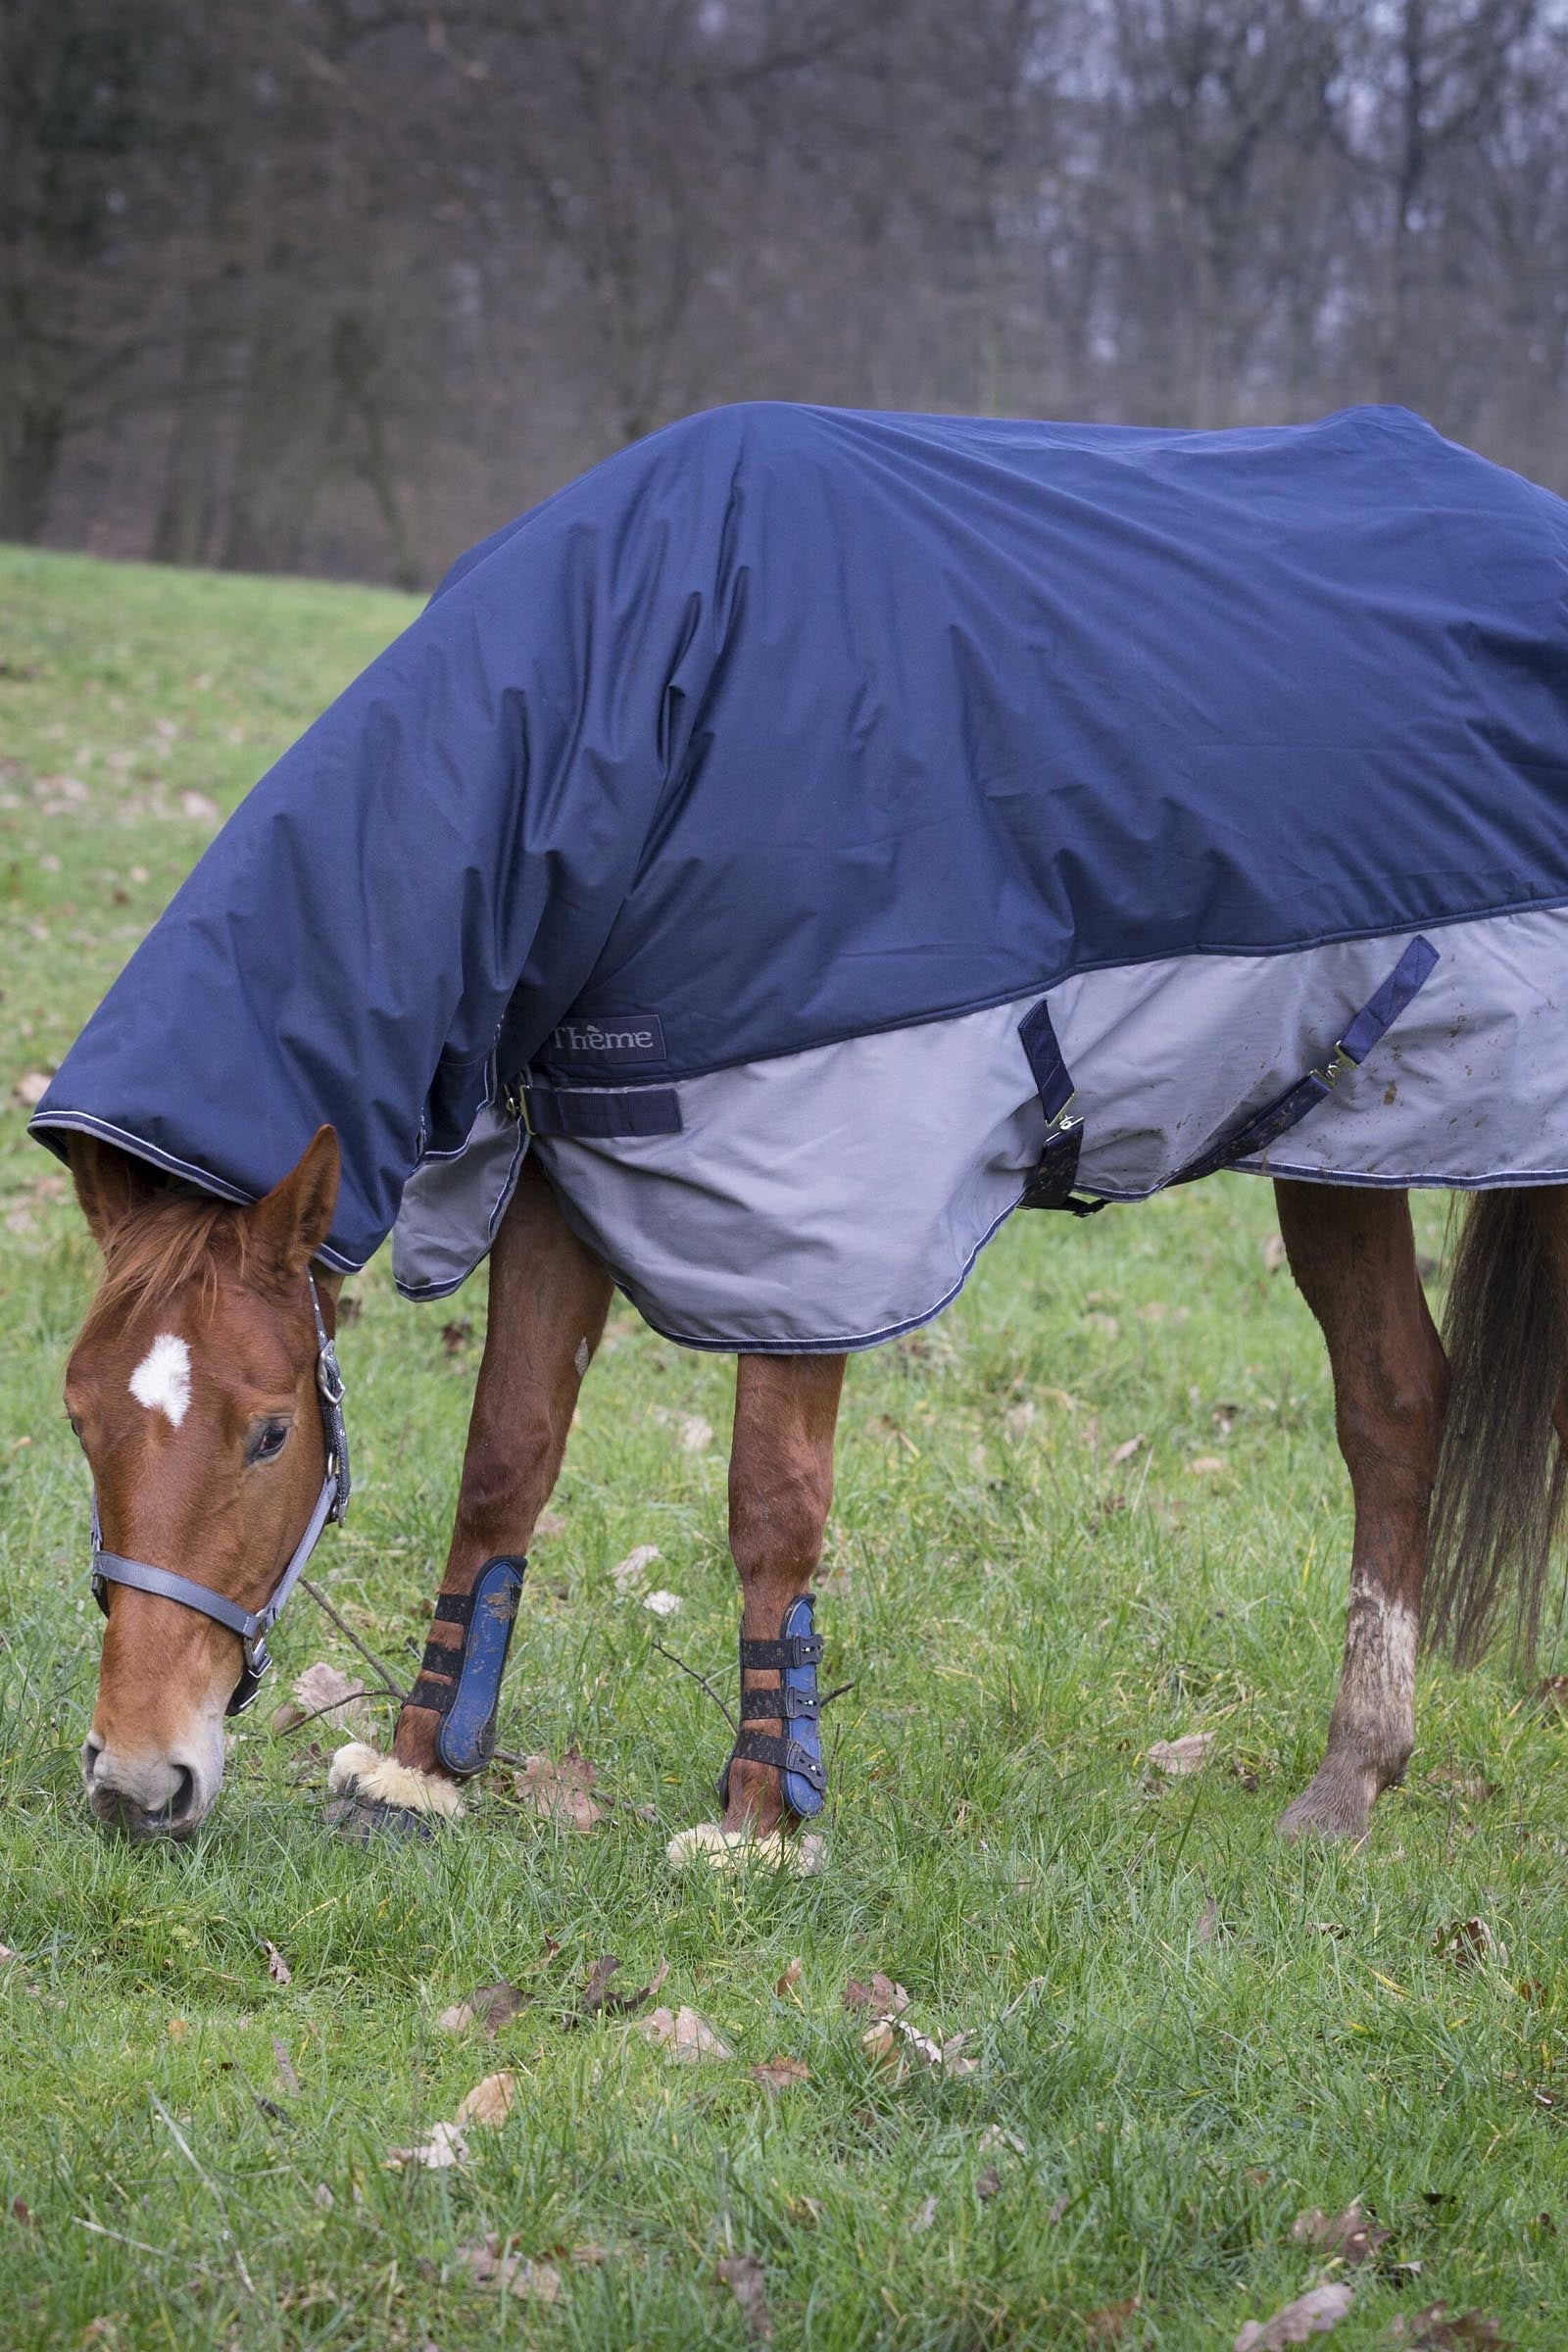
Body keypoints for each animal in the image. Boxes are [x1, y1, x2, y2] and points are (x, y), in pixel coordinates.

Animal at [37, 398, 1568, 1850]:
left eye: (270, 1435)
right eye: (78, 1417)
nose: (139, 1780)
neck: (645, 700)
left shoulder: (813, 1193)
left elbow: (772, 1503)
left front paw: (759, 1822)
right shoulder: (565, 1151)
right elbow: (505, 1462)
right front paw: (417, 1772)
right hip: (1344, 1142)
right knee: (1395, 1405)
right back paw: (1353, 1776)